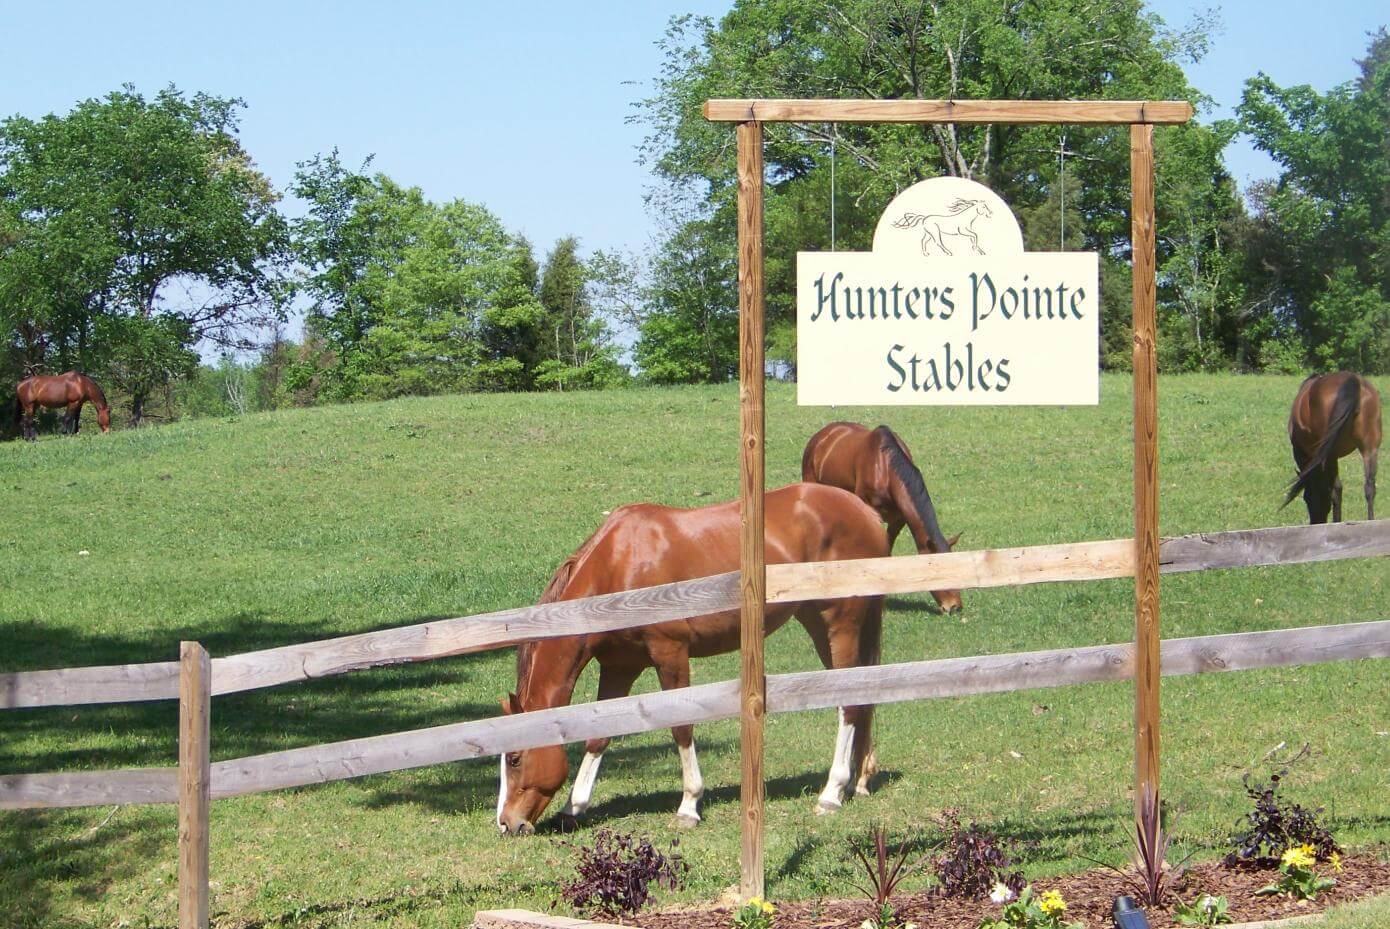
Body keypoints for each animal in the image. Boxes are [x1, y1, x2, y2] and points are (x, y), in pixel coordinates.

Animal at [497, 483, 888, 836]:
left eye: (515, 759)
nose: (506, 823)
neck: (619, 565)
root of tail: (866, 513)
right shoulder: (620, 666)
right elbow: (599, 734)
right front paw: (573, 808)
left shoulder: (670, 653)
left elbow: (681, 727)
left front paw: (689, 805)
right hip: (820, 627)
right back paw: (858, 781)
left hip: (840, 625)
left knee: (849, 703)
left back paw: (832, 793)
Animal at [1283, 371, 1381, 524]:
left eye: (1306, 498)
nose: (1316, 522)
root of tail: (1353, 380)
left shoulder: (1301, 453)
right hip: (1369, 449)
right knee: (1369, 487)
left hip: (1331, 455)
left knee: (1337, 490)